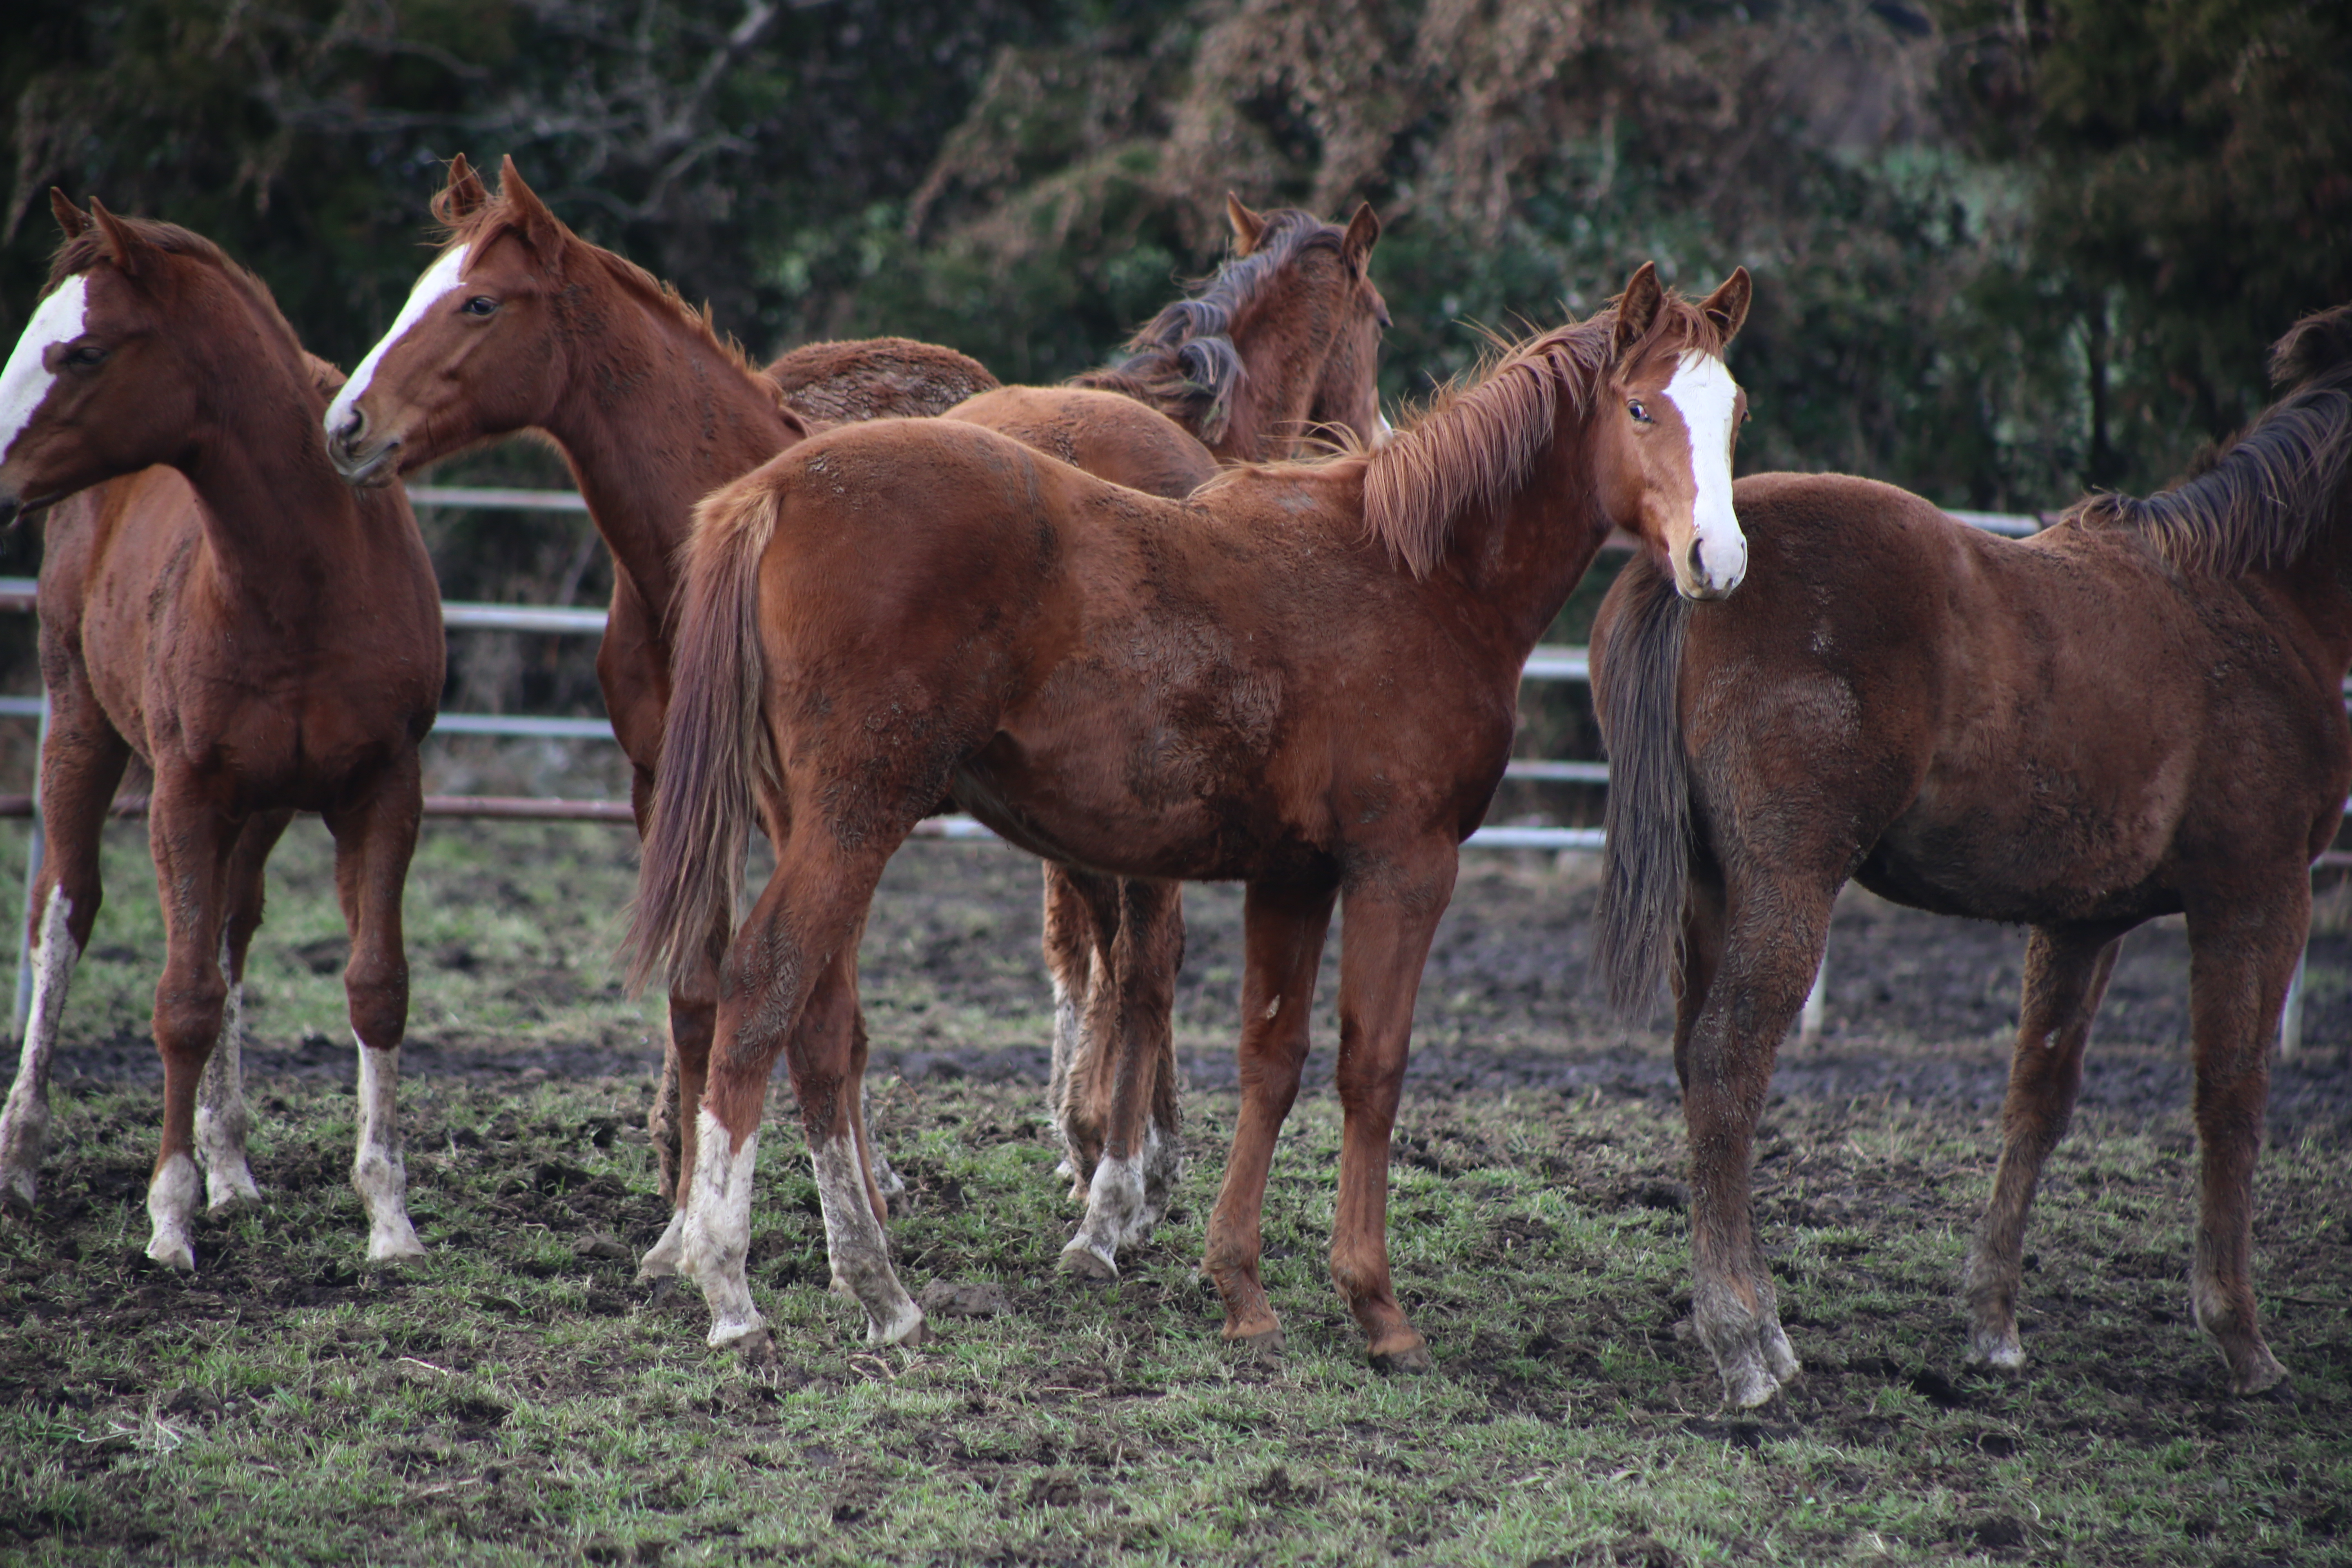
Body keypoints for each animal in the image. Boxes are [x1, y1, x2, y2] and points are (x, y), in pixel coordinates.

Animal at [0, 200, 444, 1278]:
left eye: (83, 351)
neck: (301, 573)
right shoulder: (184, 793)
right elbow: (182, 1000)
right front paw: (169, 1218)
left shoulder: (384, 788)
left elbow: (374, 984)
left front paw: (388, 1216)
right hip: (82, 729)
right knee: (61, 913)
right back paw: (22, 1157)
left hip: (264, 804)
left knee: (234, 926)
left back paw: (232, 1165)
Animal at [626, 267, 1750, 1363]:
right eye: (1641, 407)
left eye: (1733, 411)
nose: (1718, 561)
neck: (1416, 577)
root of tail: (773, 490)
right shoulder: (1404, 866)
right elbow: (1370, 1069)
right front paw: (1375, 1307)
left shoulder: (1293, 874)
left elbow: (1271, 1060)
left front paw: (1239, 1290)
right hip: (854, 819)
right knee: (761, 985)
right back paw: (729, 1284)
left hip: (815, 824)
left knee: (815, 1022)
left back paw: (877, 1289)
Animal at [1580, 305, 2352, 1410]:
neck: (2252, 595)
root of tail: (1684, 562)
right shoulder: (2256, 896)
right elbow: (2232, 1097)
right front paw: (2238, 1335)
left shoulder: (2083, 919)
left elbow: (2038, 1095)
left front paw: (1992, 1321)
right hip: (1786, 884)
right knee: (1729, 1061)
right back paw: (1745, 1339)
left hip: (1712, 888)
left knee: (1697, 1060)